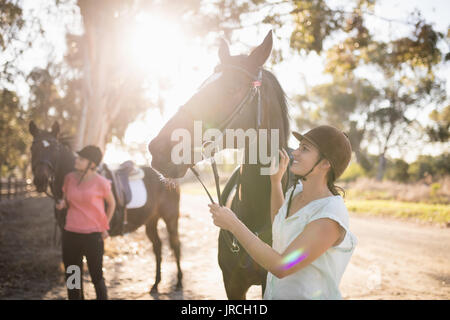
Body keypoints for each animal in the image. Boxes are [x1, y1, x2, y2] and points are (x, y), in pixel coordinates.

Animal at [29, 120, 183, 296]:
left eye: (54, 149)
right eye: (33, 148)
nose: (40, 180)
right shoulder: (70, 236)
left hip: (171, 218)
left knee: (176, 245)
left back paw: (178, 282)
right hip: (151, 220)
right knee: (158, 246)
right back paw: (156, 284)